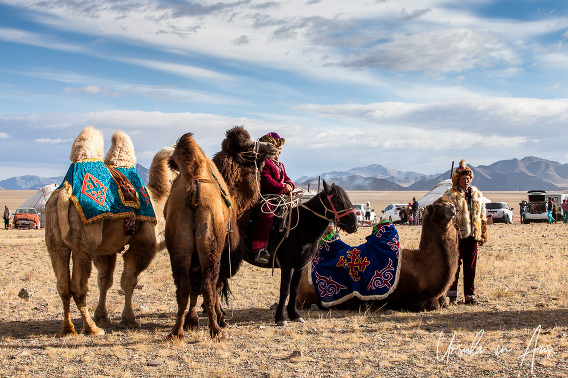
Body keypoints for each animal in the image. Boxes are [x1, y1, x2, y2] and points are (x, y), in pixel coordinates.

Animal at [44, 127, 174, 336]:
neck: (157, 201)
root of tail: (64, 193)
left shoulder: (106, 250)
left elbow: (104, 280)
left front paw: (103, 317)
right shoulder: (142, 244)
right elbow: (128, 281)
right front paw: (129, 320)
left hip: (55, 243)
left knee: (63, 285)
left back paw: (68, 329)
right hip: (84, 244)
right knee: (78, 286)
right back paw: (91, 328)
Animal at [163, 127, 276, 340]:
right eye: (248, 144)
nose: (272, 147)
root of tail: (194, 191)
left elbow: (194, 287)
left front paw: (192, 321)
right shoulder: (226, 253)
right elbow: (218, 286)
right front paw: (220, 318)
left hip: (178, 245)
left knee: (183, 286)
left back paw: (176, 331)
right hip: (212, 248)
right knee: (209, 285)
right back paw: (216, 330)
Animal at [242, 180, 358, 324]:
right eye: (337, 200)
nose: (354, 225)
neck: (303, 226)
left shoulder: (301, 265)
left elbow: (294, 289)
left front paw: (294, 315)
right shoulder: (288, 265)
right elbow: (284, 289)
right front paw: (280, 318)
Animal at [296, 196, 460, 312]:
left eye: (451, 202)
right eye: (438, 206)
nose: (453, 208)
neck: (422, 265)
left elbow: (444, 301)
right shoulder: (410, 298)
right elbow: (433, 304)